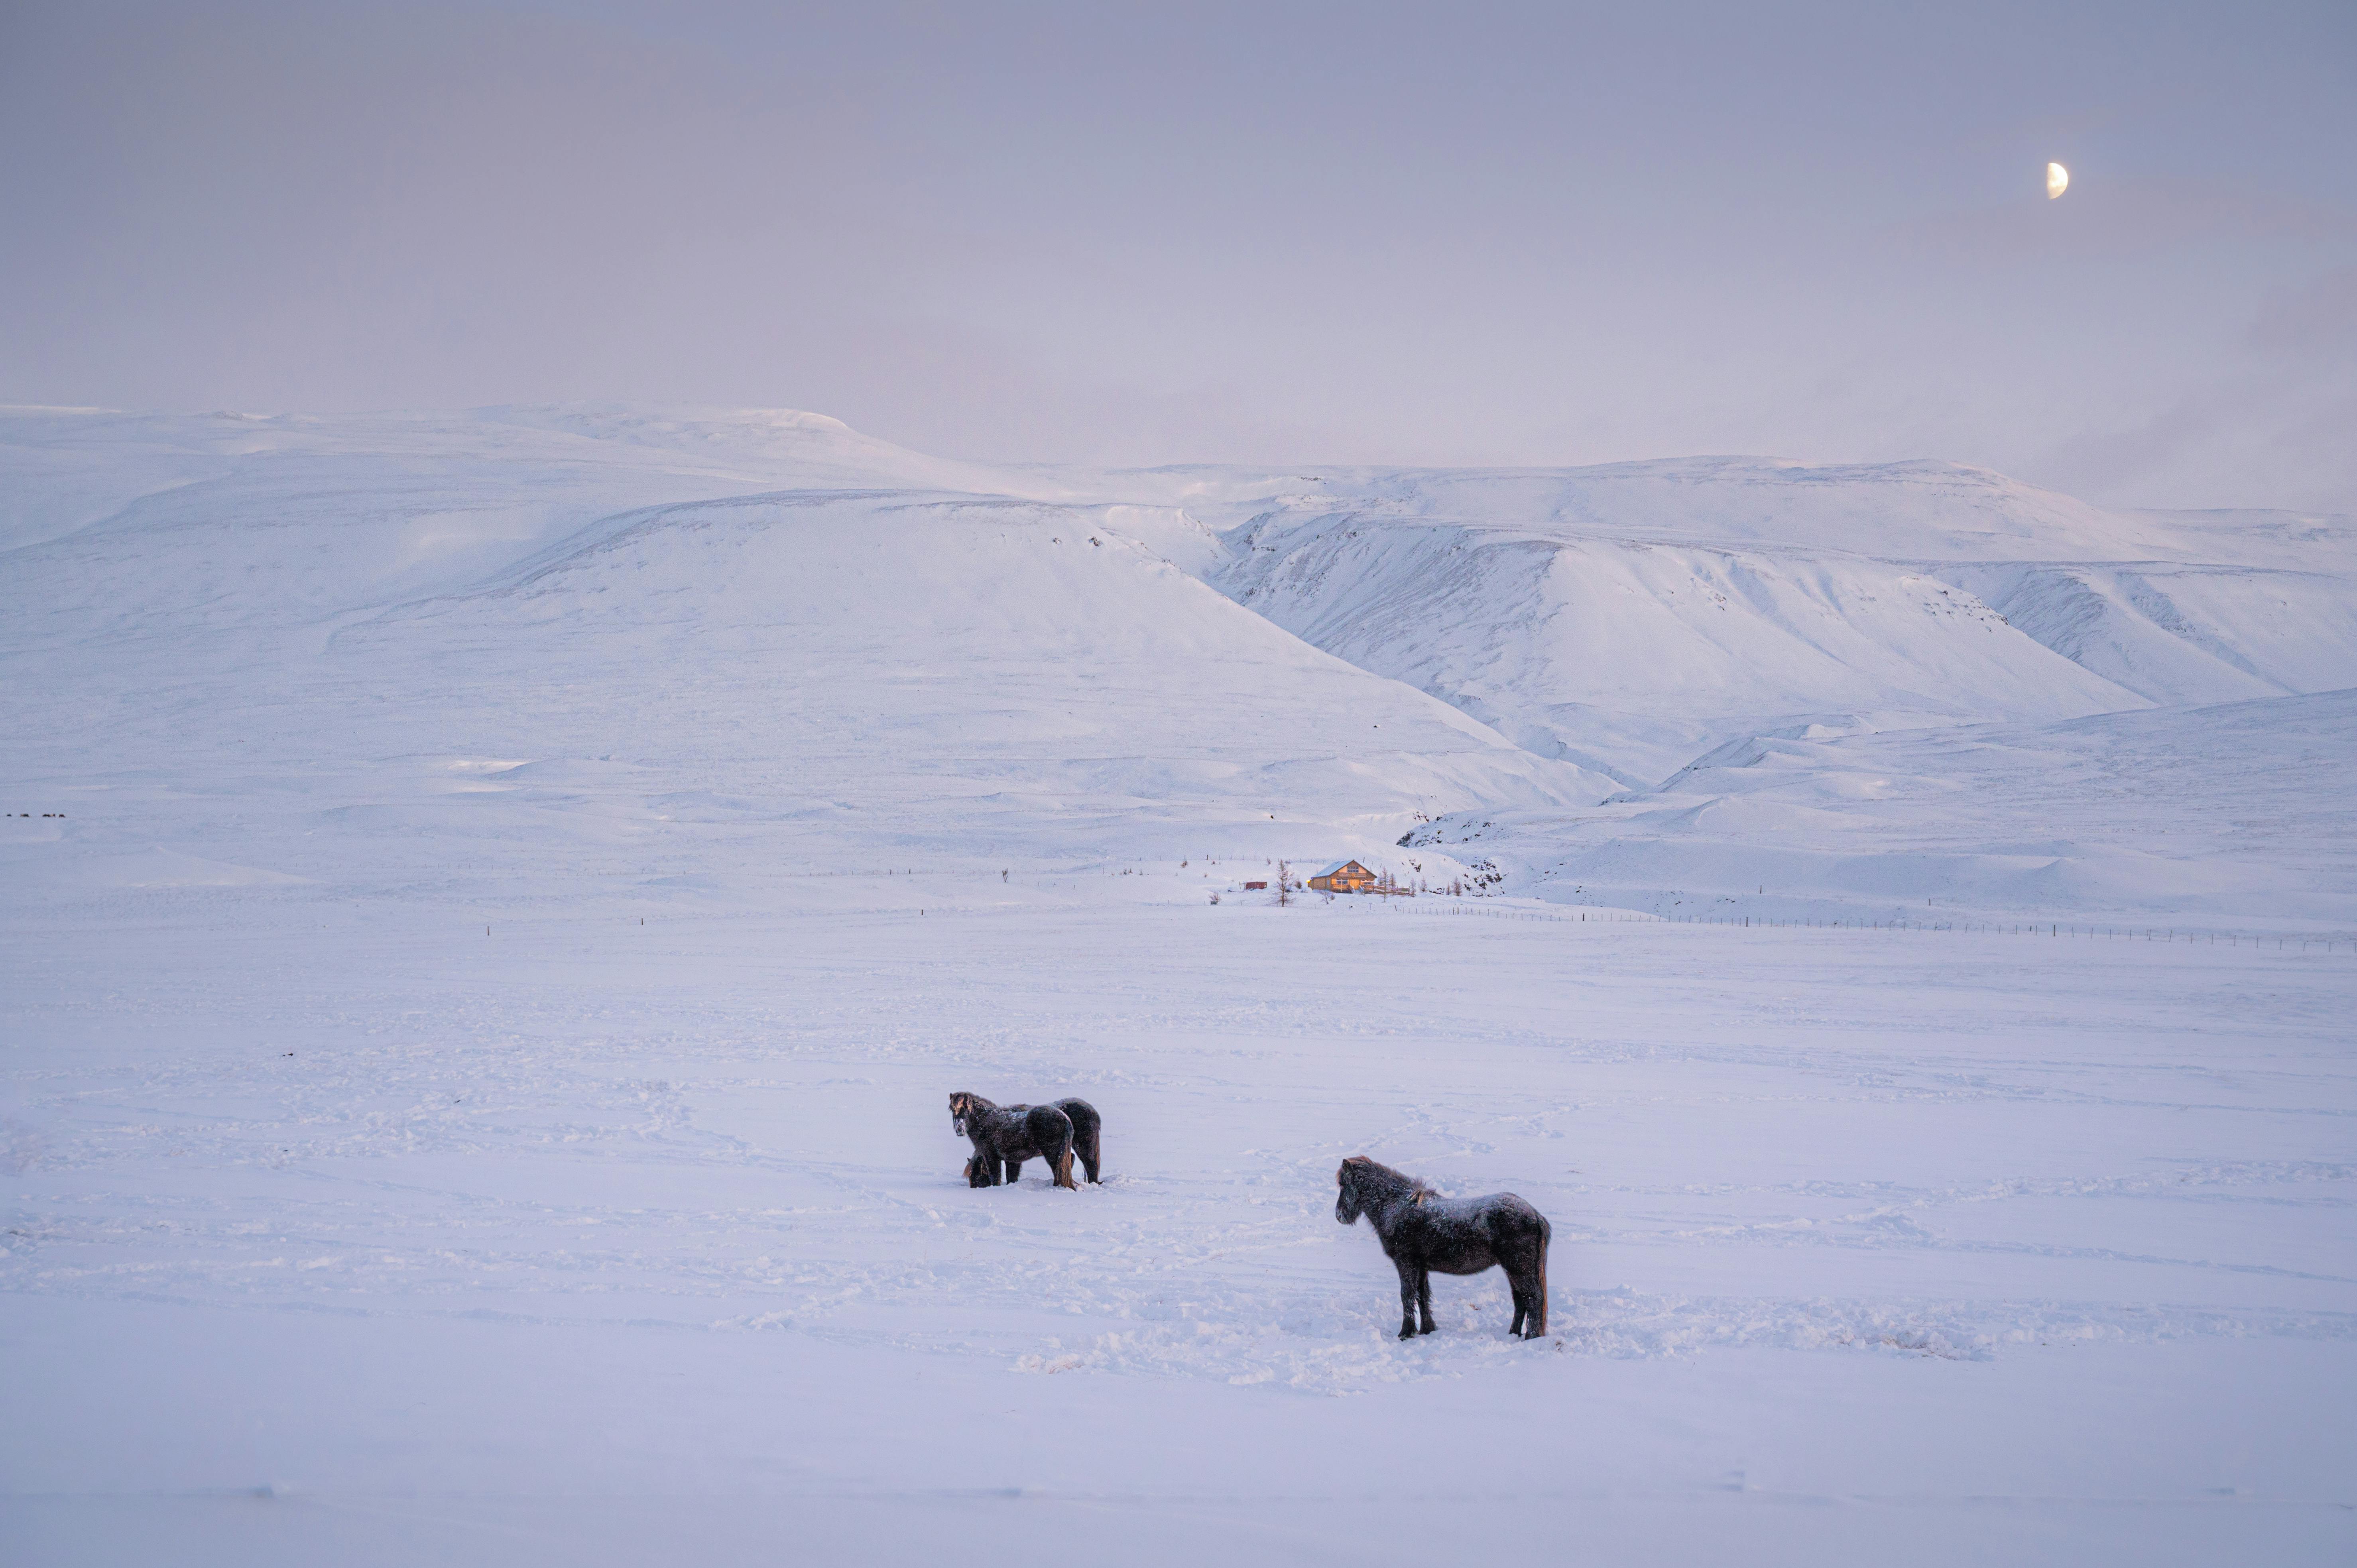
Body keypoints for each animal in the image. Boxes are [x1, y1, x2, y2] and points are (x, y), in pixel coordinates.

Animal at [948, 1092, 1103, 1190]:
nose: (960, 1129)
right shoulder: (1013, 1161)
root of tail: (1065, 1118)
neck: (988, 1120)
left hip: (1061, 1151)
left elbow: (995, 1177)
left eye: (966, 1109)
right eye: (952, 1110)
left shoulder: (992, 1157)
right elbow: (1011, 1178)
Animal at [1334, 1155, 1550, 1340]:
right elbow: (1422, 1296)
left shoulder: (1406, 1264)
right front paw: (1427, 1330)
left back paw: (1531, 1337)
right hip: (1512, 1269)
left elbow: (1407, 1296)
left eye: (1343, 1184)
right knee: (1521, 1300)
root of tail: (1535, 1215)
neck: (1396, 1207)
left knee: (1533, 1298)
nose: (1339, 1215)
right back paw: (1514, 1334)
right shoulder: (1420, 1267)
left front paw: (1405, 1333)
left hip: (1519, 1269)